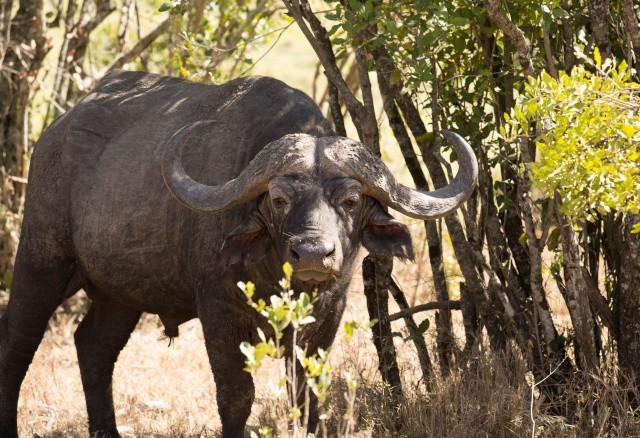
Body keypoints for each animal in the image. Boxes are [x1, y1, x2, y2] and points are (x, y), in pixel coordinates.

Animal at [0, 70, 476, 436]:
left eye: (351, 201)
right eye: (279, 198)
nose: (312, 254)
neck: (272, 274)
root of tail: (54, 132)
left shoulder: (329, 312)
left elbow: (307, 394)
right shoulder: (218, 309)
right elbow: (236, 396)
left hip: (119, 295)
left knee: (93, 348)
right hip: (42, 262)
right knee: (17, 343)